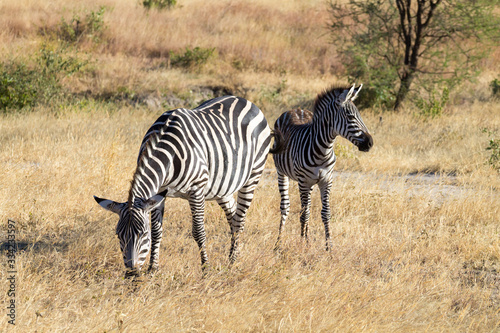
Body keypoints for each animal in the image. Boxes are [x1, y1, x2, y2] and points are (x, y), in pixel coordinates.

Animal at [93, 95, 282, 274]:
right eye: (118, 235)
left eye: (143, 234)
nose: (132, 274)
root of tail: (248, 102)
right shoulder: (159, 191)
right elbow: (157, 231)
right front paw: (153, 269)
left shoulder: (196, 189)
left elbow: (198, 231)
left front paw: (206, 269)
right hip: (222, 186)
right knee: (234, 215)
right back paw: (235, 253)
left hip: (252, 175)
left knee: (239, 221)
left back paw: (232, 262)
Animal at [272, 84, 374, 250]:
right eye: (351, 117)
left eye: (360, 116)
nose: (370, 143)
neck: (323, 150)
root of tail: (296, 109)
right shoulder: (303, 181)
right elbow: (304, 214)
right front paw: (302, 245)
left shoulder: (326, 180)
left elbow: (325, 213)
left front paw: (328, 247)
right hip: (282, 172)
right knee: (286, 207)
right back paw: (278, 243)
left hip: (311, 183)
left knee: (306, 206)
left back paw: (307, 239)